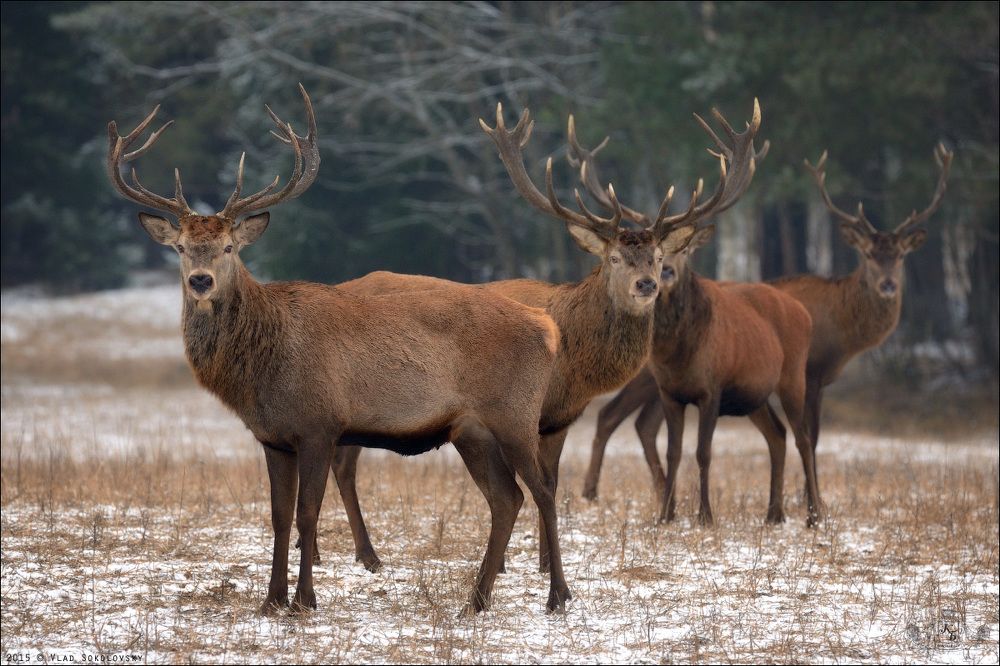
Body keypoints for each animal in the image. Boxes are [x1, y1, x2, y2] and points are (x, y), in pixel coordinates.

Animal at [107, 85, 574, 616]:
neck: (264, 365)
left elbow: (308, 513)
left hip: (515, 413)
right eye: (181, 247)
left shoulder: (320, 424)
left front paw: (304, 600)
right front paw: (271, 601)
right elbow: (277, 516)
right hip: (471, 430)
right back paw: (475, 600)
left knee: (543, 490)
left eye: (229, 247)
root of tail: (546, 326)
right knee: (506, 499)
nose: (200, 281)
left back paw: (558, 595)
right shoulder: (273, 437)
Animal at [304, 100, 766, 574]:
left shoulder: (558, 418)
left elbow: (552, 481)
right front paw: (513, 563)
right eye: (614, 257)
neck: (571, 363)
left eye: (657, 256)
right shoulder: (515, 413)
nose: (647, 285)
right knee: (342, 463)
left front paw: (543, 562)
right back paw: (364, 553)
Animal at [581, 144, 952, 524]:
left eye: (901, 255)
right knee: (617, 417)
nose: (888, 285)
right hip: (664, 379)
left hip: (756, 388)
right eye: (867, 254)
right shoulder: (810, 374)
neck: (842, 330)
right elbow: (808, 437)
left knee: (776, 434)